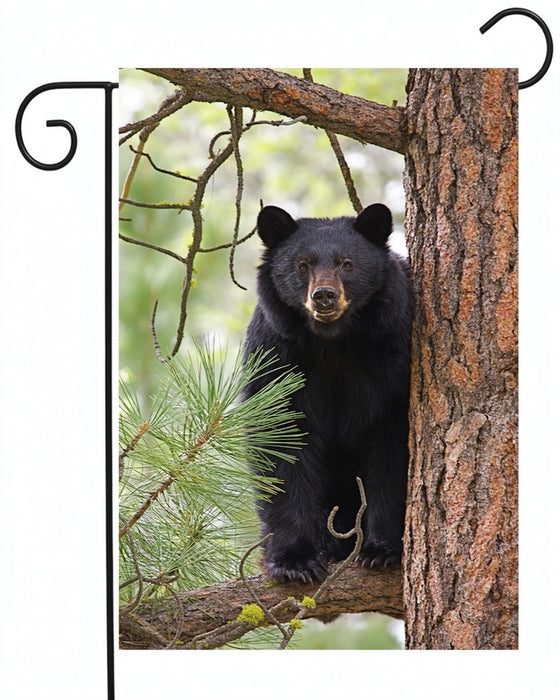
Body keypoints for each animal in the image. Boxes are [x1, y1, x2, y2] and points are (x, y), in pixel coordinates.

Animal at [242, 203, 413, 583]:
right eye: (302, 265)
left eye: (346, 263)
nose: (324, 296)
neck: (334, 342)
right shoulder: (276, 356)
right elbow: (280, 443)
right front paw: (294, 561)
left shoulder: (394, 354)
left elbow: (393, 448)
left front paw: (381, 550)